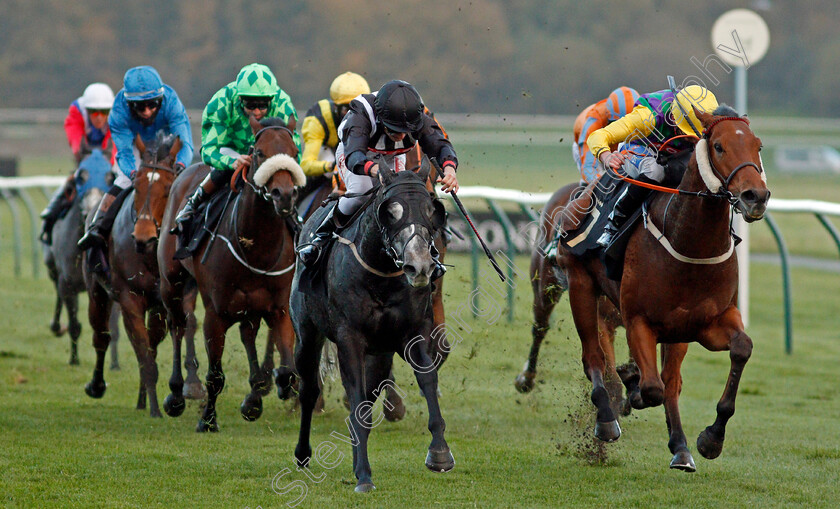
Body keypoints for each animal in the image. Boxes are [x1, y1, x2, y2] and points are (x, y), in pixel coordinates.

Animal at [44, 147, 120, 366]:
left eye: (110, 176)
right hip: (52, 268)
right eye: (80, 176)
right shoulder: (68, 282)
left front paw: (114, 364)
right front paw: (74, 360)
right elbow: (75, 324)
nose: (91, 210)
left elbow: (113, 328)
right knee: (57, 291)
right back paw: (56, 326)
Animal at [83, 134, 203, 416]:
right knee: (102, 335)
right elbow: (144, 356)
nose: (143, 237)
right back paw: (97, 385)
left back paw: (141, 399)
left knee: (151, 342)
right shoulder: (130, 300)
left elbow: (182, 327)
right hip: (96, 291)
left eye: (169, 187)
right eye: (136, 186)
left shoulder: (176, 294)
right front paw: (156, 410)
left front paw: (190, 386)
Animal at [158, 117, 302, 430]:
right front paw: (208, 420)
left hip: (249, 306)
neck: (256, 248)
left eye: (294, 151)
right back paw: (175, 394)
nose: (284, 195)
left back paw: (254, 397)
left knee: (248, 334)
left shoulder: (279, 308)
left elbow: (288, 372)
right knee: (177, 326)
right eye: (259, 152)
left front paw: (264, 394)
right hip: (171, 282)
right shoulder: (216, 313)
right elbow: (215, 375)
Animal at [294, 165, 452, 490]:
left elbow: (428, 381)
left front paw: (440, 453)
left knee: (368, 397)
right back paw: (303, 453)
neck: (381, 276)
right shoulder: (349, 339)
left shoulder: (413, 333)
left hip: (379, 354)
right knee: (309, 390)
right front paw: (365, 475)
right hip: (306, 335)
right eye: (390, 211)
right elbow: (354, 397)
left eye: (433, 210)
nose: (419, 266)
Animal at [556, 105, 772, 470]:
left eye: (757, 146)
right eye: (718, 147)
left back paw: (681, 448)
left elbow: (741, 348)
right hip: (580, 283)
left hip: (676, 332)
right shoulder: (638, 320)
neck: (690, 244)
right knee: (593, 358)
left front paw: (710, 438)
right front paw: (631, 386)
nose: (755, 196)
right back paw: (606, 418)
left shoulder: (706, 323)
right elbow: (650, 388)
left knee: (671, 382)